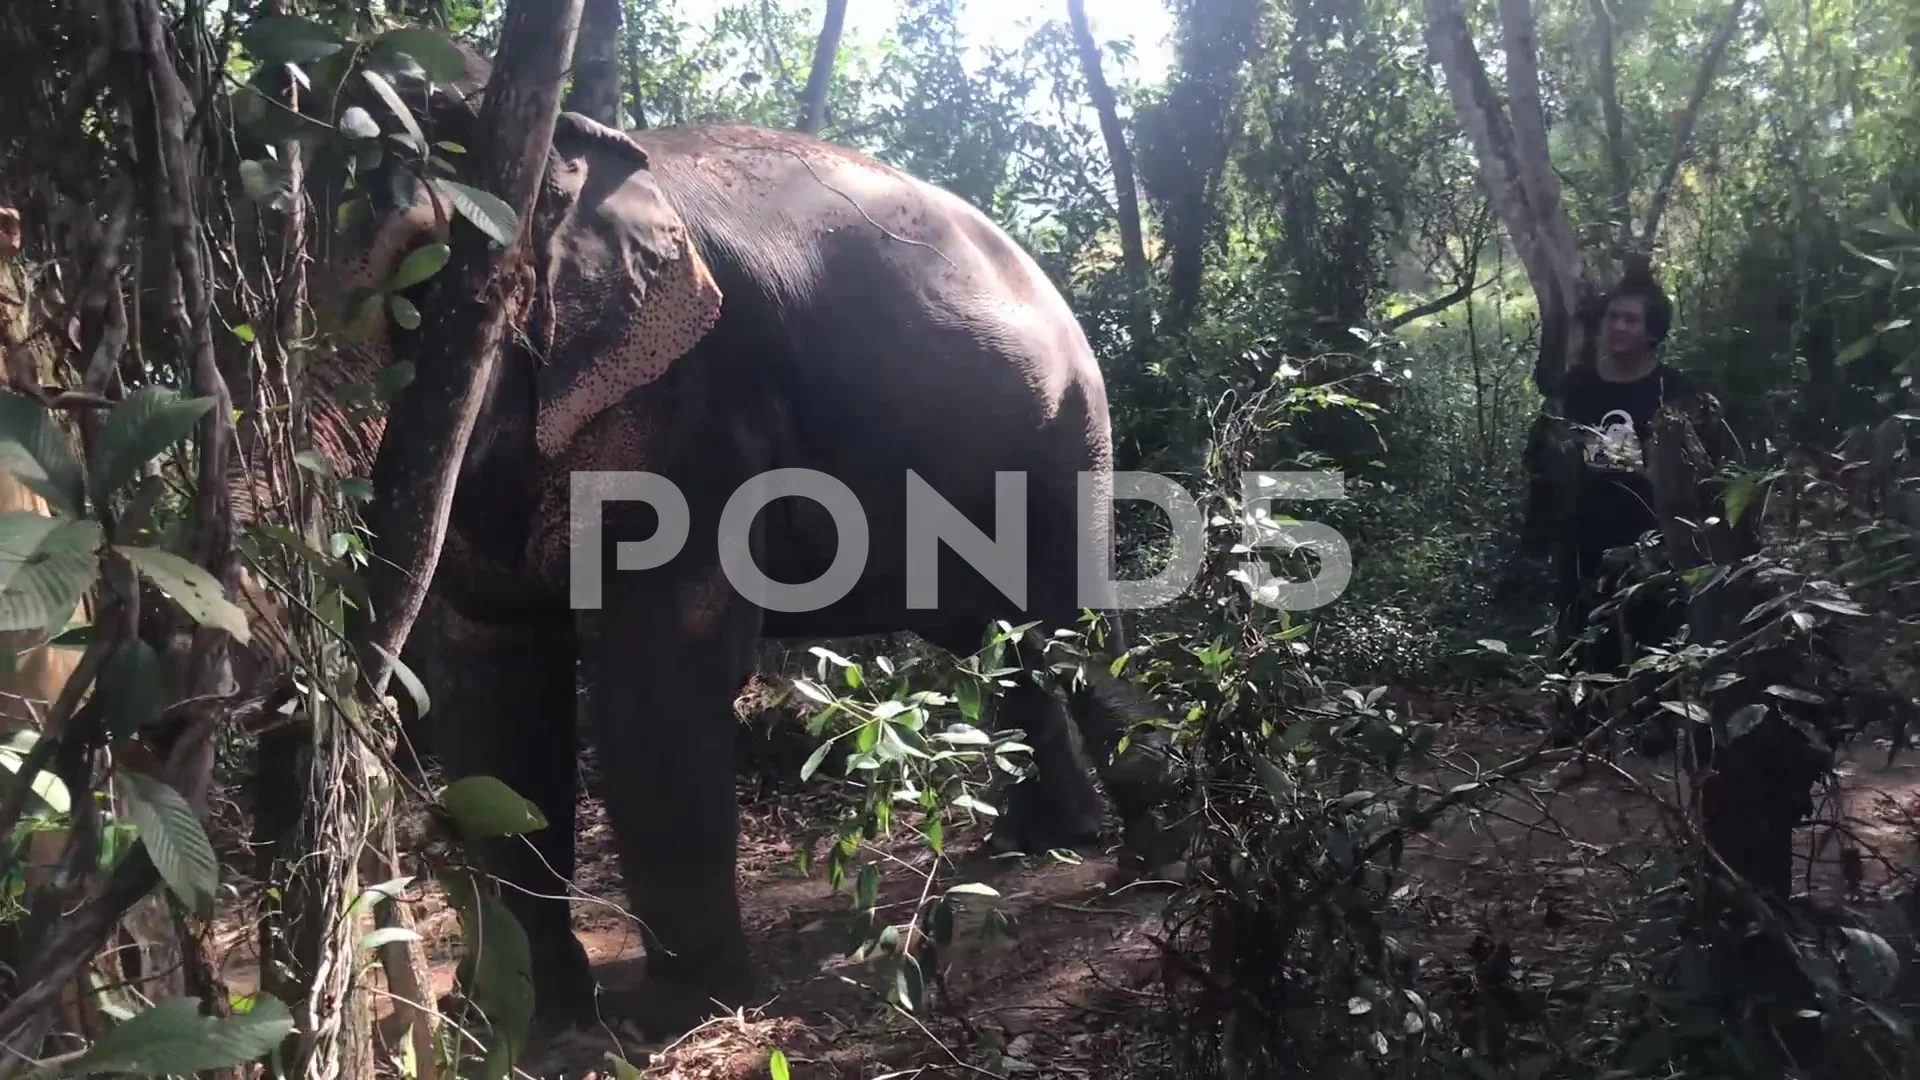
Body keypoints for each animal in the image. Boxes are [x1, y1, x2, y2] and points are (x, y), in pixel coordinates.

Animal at [238, 44, 1182, 1045]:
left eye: (428, 288)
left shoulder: (695, 402)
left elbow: (659, 664)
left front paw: (682, 1014)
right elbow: (494, 677)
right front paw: (525, 1022)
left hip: (1067, 438)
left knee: (1062, 623)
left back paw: (1133, 851)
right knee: (1000, 641)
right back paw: (1040, 839)